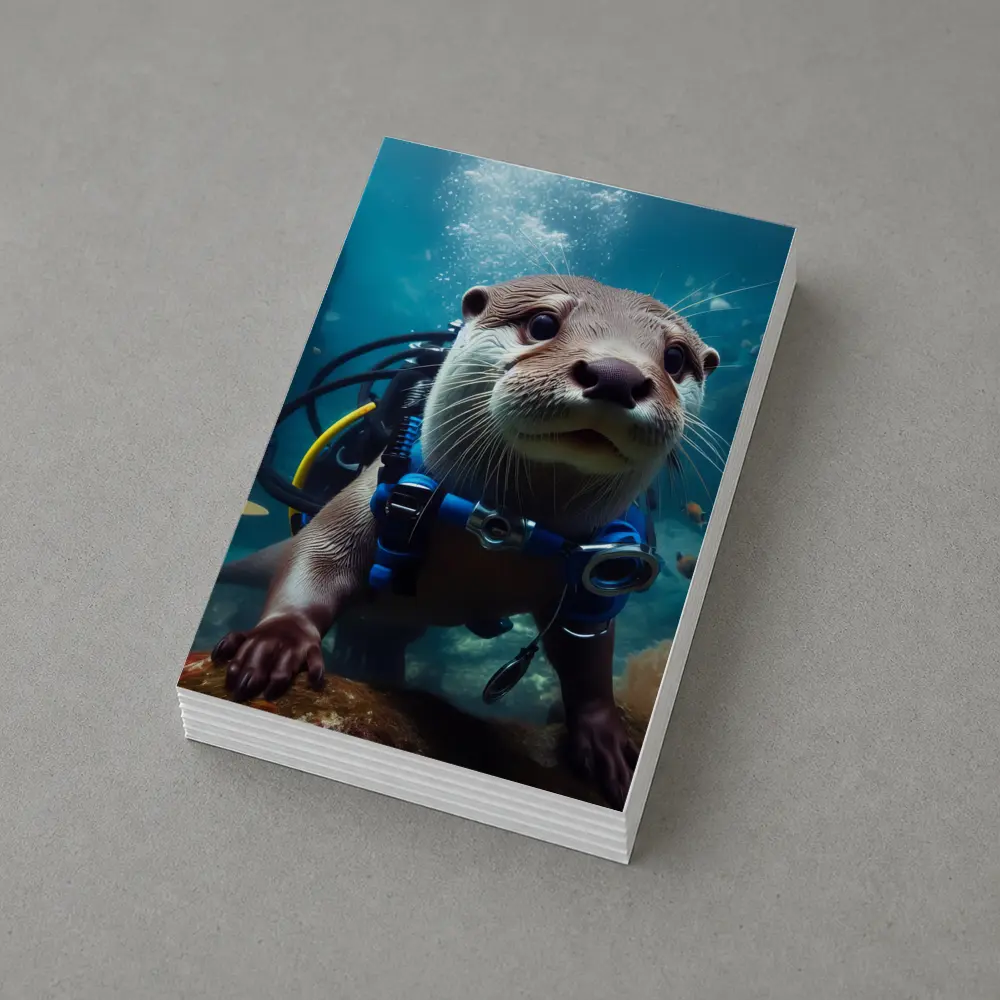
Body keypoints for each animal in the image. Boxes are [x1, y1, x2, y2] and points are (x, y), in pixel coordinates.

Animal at [211, 275, 720, 807]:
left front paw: (605, 741)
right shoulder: (371, 493)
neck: (502, 528)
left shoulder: (597, 573)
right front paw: (275, 644)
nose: (616, 374)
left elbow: (587, 654)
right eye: (543, 323)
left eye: (675, 357)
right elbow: (321, 554)